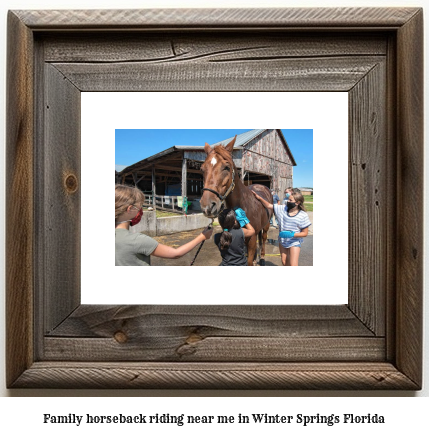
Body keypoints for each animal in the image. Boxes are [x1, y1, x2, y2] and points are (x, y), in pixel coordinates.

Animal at [199, 136, 272, 266]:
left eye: (227, 167)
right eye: (202, 169)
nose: (207, 207)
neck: (243, 205)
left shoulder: (251, 238)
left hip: (267, 225)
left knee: (263, 239)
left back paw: (262, 258)